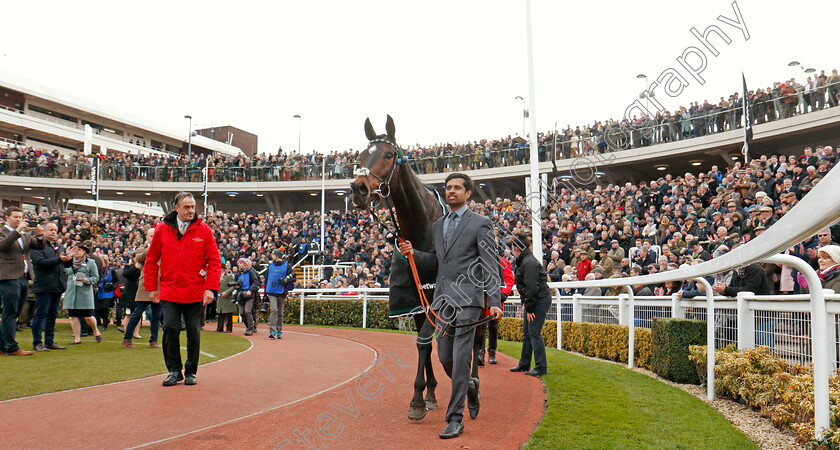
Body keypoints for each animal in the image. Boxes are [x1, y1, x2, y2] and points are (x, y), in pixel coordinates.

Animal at [350, 114, 446, 420]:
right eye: (360, 155)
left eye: (389, 154)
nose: (359, 189)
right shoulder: (416, 299)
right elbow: (424, 342)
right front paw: (427, 394)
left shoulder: (438, 297)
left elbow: (425, 340)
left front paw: (418, 399)